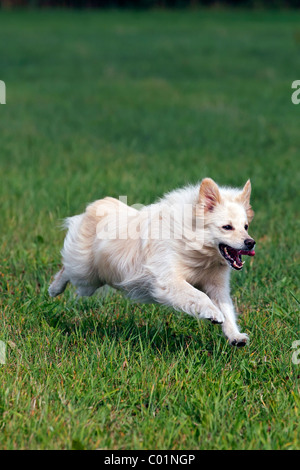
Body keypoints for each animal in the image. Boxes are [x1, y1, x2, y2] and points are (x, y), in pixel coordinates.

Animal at [49, 178, 255, 346]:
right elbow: (199, 296)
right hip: (85, 275)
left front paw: (235, 336)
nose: (251, 242)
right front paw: (212, 313)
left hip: (93, 281)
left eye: (245, 227)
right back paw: (54, 289)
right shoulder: (168, 281)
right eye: (227, 227)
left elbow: (227, 309)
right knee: (66, 269)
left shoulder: (217, 285)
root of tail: (96, 206)